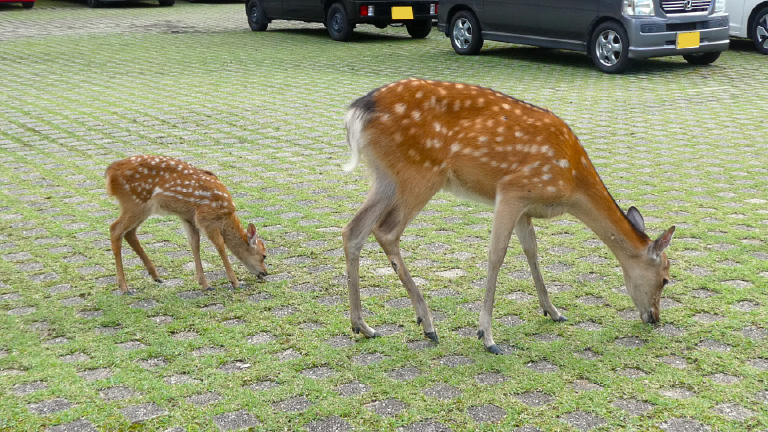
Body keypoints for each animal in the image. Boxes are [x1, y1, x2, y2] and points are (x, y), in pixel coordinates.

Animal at [105, 155, 268, 295]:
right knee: (115, 229)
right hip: (135, 202)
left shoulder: (188, 218)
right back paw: (124, 287)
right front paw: (235, 282)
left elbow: (195, 244)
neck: (226, 215)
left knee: (129, 233)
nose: (265, 273)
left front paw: (205, 284)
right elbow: (220, 245)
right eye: (264, 255)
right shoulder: (205, 217)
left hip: (142, 208)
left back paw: (155, 276)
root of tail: (110, 173)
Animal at [341, 78, 675, 354]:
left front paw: (553, 311)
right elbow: (496, 254)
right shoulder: (512, 190)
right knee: (386, 231)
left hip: (385, 176)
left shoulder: (526, 206)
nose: (655, 317)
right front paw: (487, 336)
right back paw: (427, 323)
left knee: (353, 230)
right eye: (666, 278)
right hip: (421, 172)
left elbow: (531, 250)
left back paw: (364, 326)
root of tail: (358, 110)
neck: (571, 183)